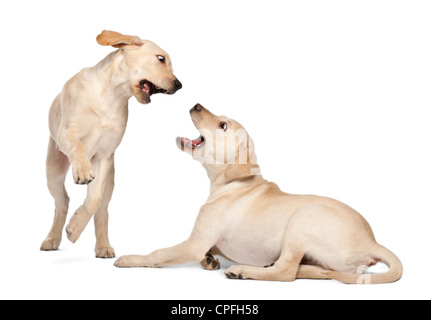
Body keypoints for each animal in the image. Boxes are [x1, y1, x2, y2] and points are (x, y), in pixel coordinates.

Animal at [40, 30, 182, 258]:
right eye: (161, 59)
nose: (179, 85)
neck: (111, 95)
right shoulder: (67, 133)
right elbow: (77, 146)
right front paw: (82, 170)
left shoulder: (104, 157)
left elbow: (94, 199)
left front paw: (75, 228)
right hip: (53, 170)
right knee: (62, 202)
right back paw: (52, 238)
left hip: (110, 180)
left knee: (101, 210)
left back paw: (103, 246)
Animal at [115, 104, 404, 284]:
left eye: (222, 125)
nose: (196, 104)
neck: (229, 183)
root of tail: (372, 242)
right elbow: (207, 253)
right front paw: (209, 260)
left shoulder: (194, 242)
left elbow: (158, 254)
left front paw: (130, 259)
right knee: (317, 271)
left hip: (303, 218)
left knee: (286, 271)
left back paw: (243, 271)